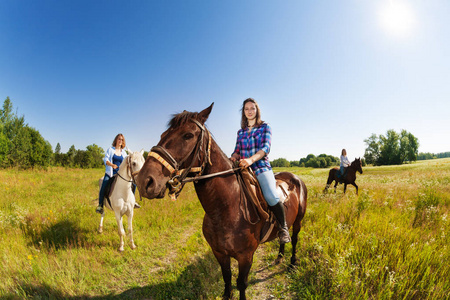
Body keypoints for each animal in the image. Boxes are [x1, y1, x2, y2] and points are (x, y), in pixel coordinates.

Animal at [135, 103, 308, 300]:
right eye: (163, 134)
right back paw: (279, 257)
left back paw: (292, 263)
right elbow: (227, 277)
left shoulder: (245, 256)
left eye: (188, 135)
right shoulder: (219, 253)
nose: (144, 180)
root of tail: (294, 177)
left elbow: (241, 284)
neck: (225, 210)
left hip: (298, 221)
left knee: (294, 240)